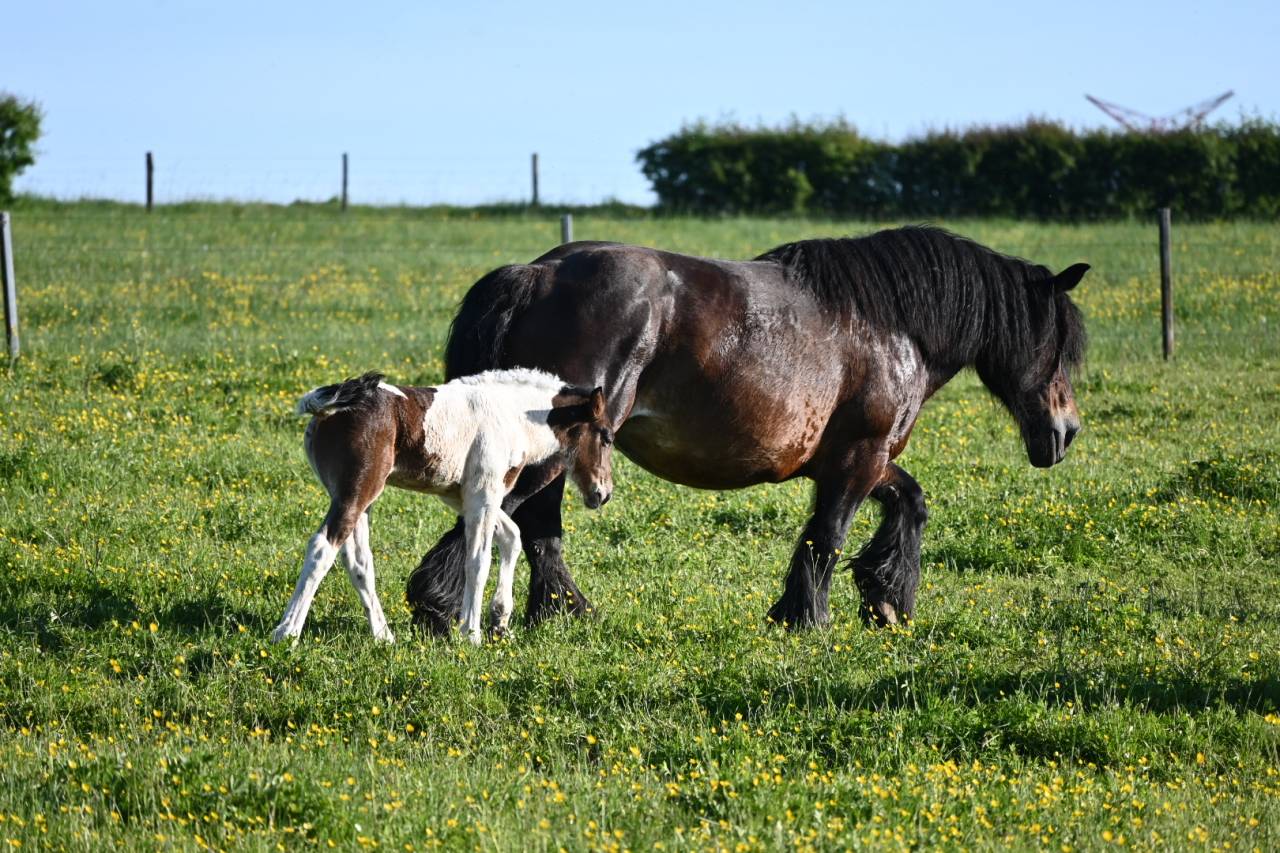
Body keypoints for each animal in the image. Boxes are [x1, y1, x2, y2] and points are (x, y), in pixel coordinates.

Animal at [271, 368, 614, 645]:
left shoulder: (466, 498)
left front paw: (501, 624)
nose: (603, 493)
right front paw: (471, 634)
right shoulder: (483, 493)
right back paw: (286, 631)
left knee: (359, 562)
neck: (511, 414)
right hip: (355, 493)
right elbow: (478, 560)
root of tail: (329, 407)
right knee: (321, 548)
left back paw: (383, 636)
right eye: (606, 437)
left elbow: (512, 537)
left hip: (358, 499)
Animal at [406, 225, 1088, 634]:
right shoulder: (859, 459)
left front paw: (886, 596)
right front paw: (807, 618)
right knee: (505, 516)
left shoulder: (856, 460)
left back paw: (563, 613)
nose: (1066, 432)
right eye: (1058, 341)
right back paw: (442, 604)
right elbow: (827, 536)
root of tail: (536, 275)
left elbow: (909, 504)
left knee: (539, 528)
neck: (891, 324)